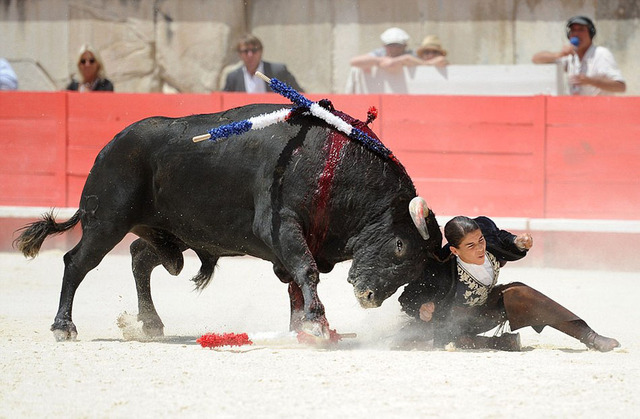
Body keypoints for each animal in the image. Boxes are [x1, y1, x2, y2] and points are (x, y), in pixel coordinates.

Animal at [13, 103, 440, 342]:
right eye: (400, 246)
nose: (369, 298)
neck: (333, 166)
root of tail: (109, 145)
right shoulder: (282, 227)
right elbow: (307, 272)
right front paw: (317, 324)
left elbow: (296, 284)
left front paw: (301, 326)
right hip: (106, 222)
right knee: (77, 262)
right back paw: (63, 327)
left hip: (171, 236)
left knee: (140, 257)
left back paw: (150, 323)